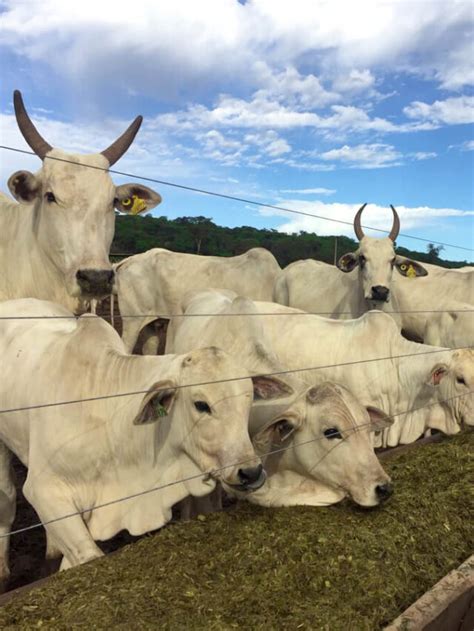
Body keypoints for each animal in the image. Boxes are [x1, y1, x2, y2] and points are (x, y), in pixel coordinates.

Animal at [0, 298, 292, 584]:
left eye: (249, 398)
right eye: (201, 404)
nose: (250, 472)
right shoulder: (44, 491)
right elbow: (86, 555)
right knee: (8, 497)